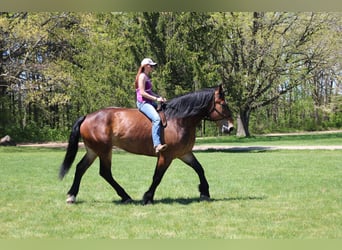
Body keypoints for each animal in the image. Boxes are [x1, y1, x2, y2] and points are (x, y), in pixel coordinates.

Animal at [60, 85, 234, 204]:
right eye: (224, 104)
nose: (231, 127)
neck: (178, 119)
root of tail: (87, 116)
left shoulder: (184, 153)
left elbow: (199, 169)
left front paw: (204, 192)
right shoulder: (166, 155)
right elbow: (157, 176)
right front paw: (148, 197)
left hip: (93, 150)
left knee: (81, 168)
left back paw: (72, 195)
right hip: (103, 150)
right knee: (105, 173)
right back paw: (125, 196)